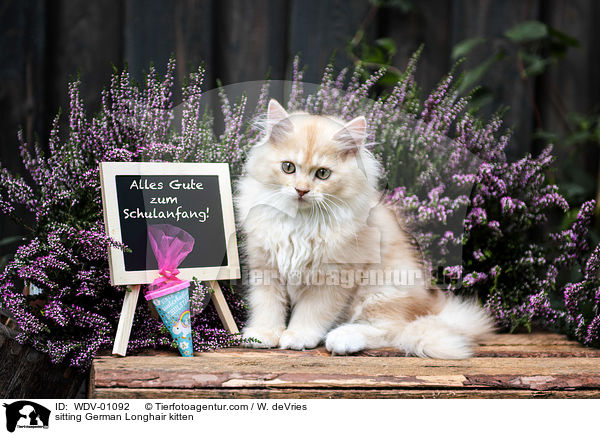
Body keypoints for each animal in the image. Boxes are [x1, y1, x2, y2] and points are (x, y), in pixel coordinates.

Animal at [234, 100, 492, 360]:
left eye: (322, 173)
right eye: (288, 167)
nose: (301, 190)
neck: (300, 221)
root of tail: (432, 307)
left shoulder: (334, 276)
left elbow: (312, 312)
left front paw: (298, 336)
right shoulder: (265, 267)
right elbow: (267, 307)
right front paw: (263, 334)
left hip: (383, 288)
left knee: (394, 329)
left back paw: (343, 338)